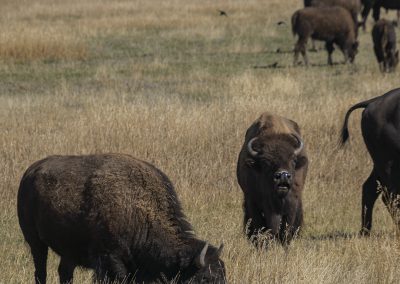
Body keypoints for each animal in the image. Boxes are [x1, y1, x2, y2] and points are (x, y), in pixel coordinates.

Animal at [18, 154, 225, 284]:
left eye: (224, 275)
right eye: (205, 278)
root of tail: (29, 172)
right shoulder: (111, 260)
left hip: (69, 250)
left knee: (64, 272)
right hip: (35, 242)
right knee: (41, 270)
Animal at [238, 112, 310, 246]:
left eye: (293, 160)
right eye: (265, 162)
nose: (283, 175)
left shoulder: (292, 202)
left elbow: (286, 229)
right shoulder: (253, 202)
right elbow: (260, 227)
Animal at [340, 88, 400, 235]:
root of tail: (373, 102)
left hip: (379, 165)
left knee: (370, 189)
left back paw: (365, 231)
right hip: (388, 163)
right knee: (389, 196)